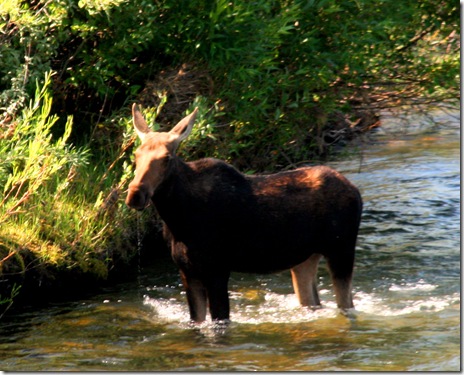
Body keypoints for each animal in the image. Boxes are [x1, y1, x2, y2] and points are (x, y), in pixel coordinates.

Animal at [126, 105, 362, 324]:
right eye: (136, 155)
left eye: (166, 158)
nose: (135, 194)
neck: (178, 217)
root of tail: (356, 191)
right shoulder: (187, 271)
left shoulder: (218, 269)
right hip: (304, 258)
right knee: (314, 301)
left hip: (341, 250)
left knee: (347, 304)